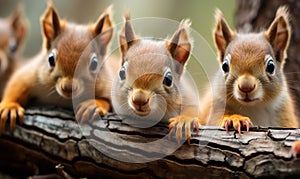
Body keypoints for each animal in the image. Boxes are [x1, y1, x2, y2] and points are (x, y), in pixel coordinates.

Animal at [0, 1, 118, 133]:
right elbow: (16, 84)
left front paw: (92, 105)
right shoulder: (31, 74)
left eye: (94, 63)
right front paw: (10, 107)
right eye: (51, 59)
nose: (68, 87)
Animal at [198, 5, 298, 133]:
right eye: (224, 66)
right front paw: (235, 119)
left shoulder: (284, 114)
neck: (254, 107)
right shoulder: (216, 106)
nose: (246, 87)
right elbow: (215, 120)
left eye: (271, 66)